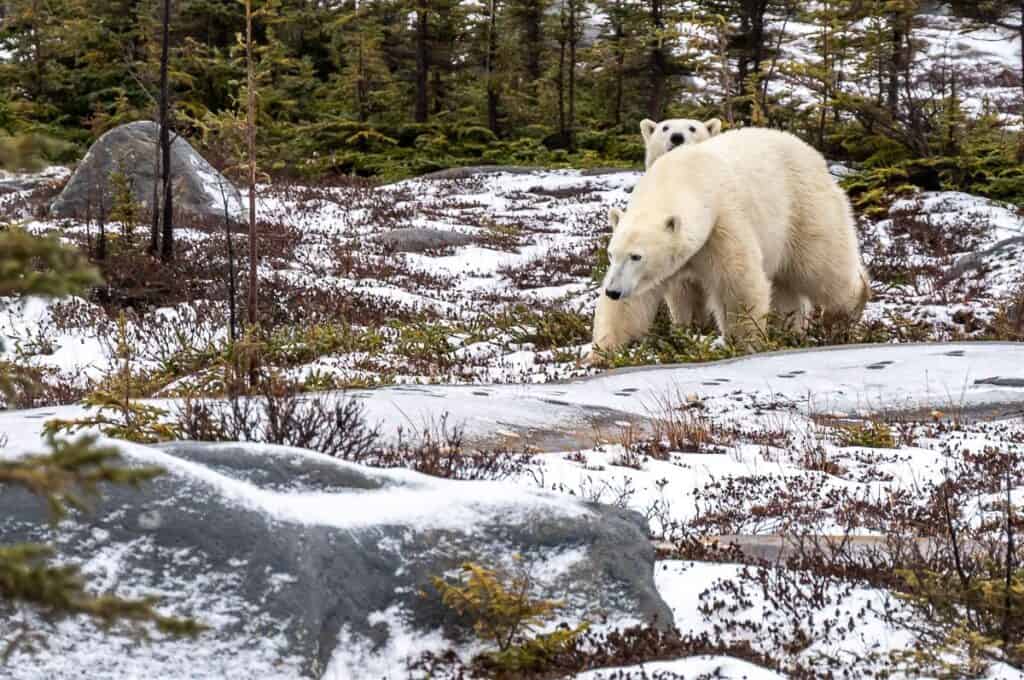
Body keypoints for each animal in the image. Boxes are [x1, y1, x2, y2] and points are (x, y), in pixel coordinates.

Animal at [589, 126, 868, 356]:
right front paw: (602, 353)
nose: (613, 291)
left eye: (637, 256)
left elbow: (739, 285)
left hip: (802, 207)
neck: (683, 177)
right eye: (612, 254)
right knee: (786, 288)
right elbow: (633, 303)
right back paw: (789, 330)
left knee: (819, 265)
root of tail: (814, 155)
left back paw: (845, 313)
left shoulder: (722, 222)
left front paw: (744, 344)